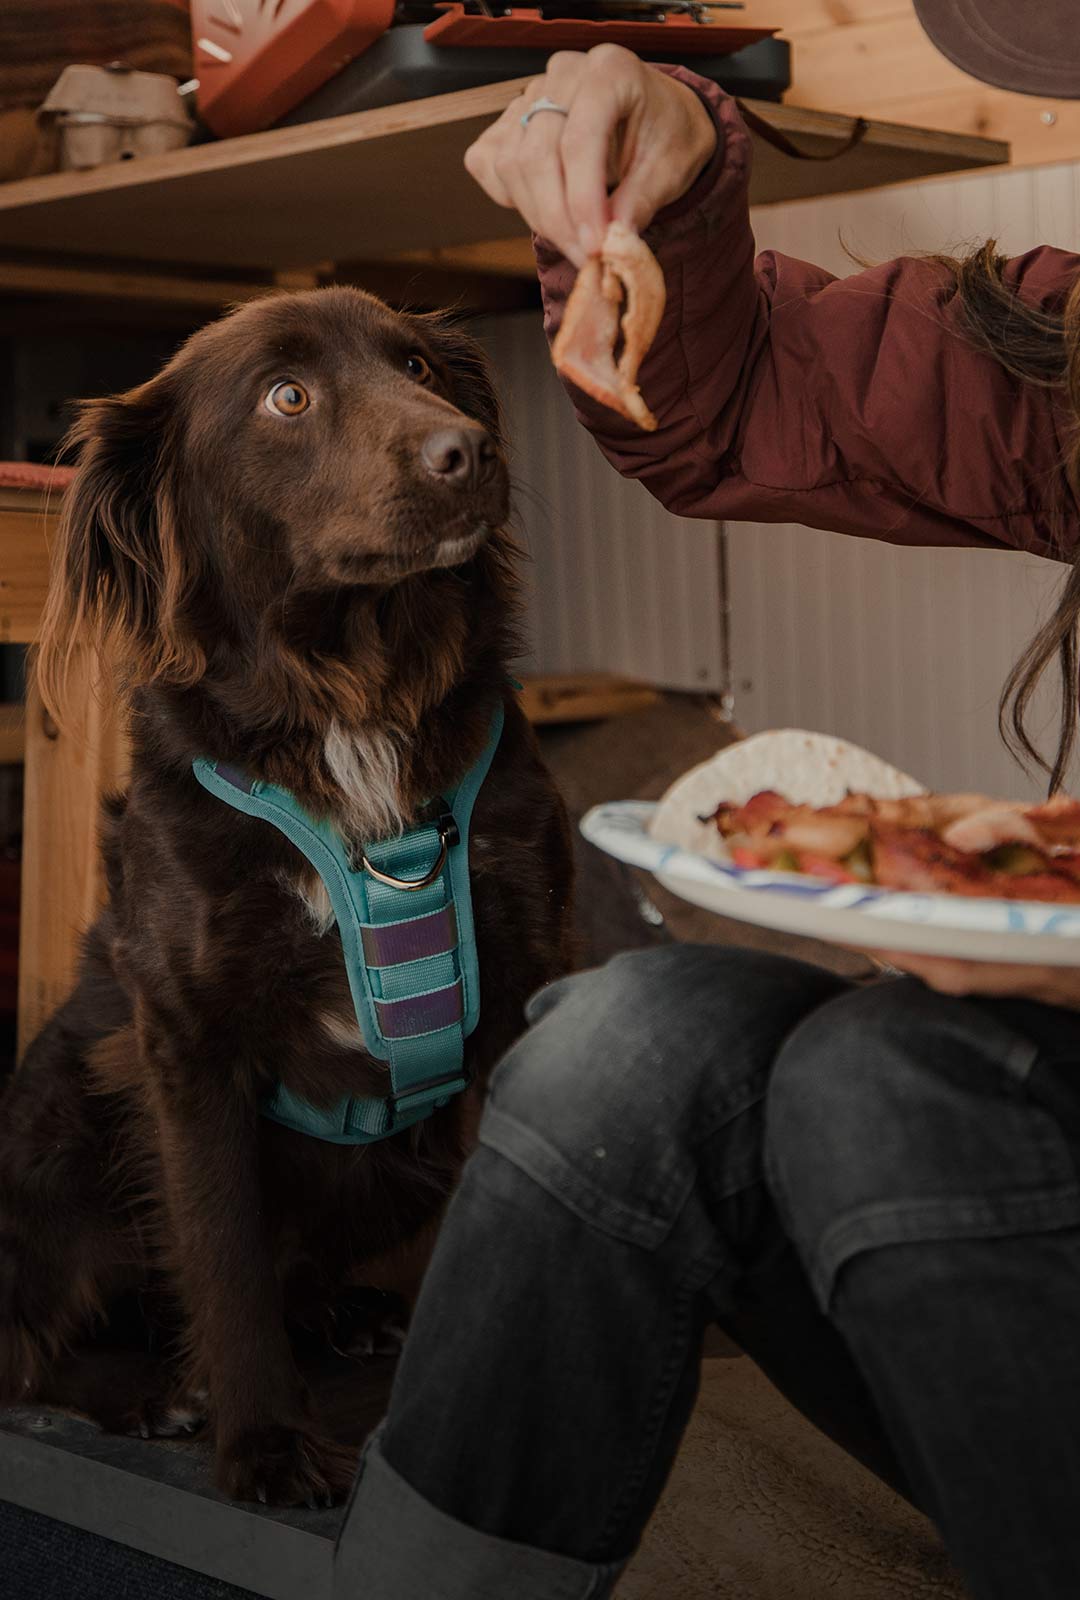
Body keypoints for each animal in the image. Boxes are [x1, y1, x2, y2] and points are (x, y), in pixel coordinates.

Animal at [0, 291, 576, 1510]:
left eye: (418, 366)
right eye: (287, 397)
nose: (471, 451)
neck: (350, 710)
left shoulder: (516, 994)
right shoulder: (186, 1041)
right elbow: (222, 1252)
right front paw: (263, 1442)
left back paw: (343, 1312)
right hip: (68, 1108)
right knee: (26, 1341)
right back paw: (149, 1390)